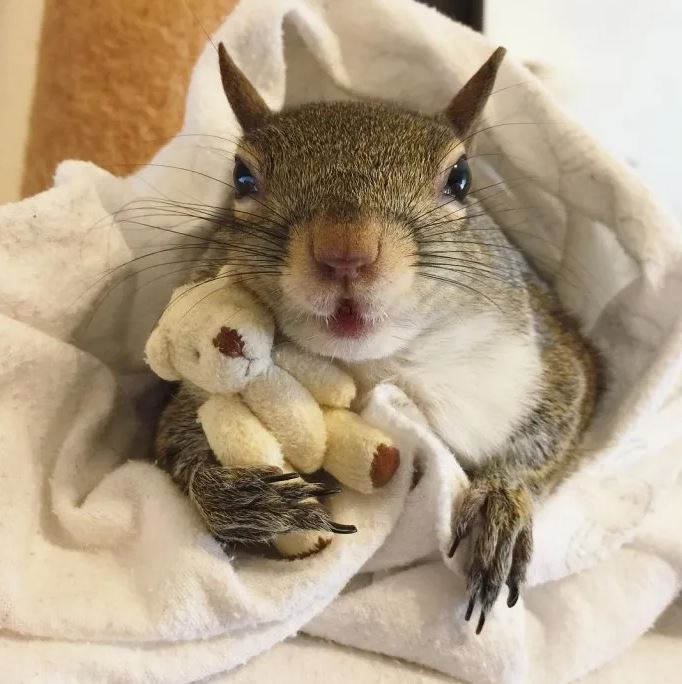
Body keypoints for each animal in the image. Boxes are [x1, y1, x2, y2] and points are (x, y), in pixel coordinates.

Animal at [153, 41, 596, 632]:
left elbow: (553, 433)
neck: (372, 368)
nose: (346, 250)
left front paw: (500, 502)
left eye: (461, 177)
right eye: (242, 178)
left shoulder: (552, 360)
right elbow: (173, 450)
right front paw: (237, 498)